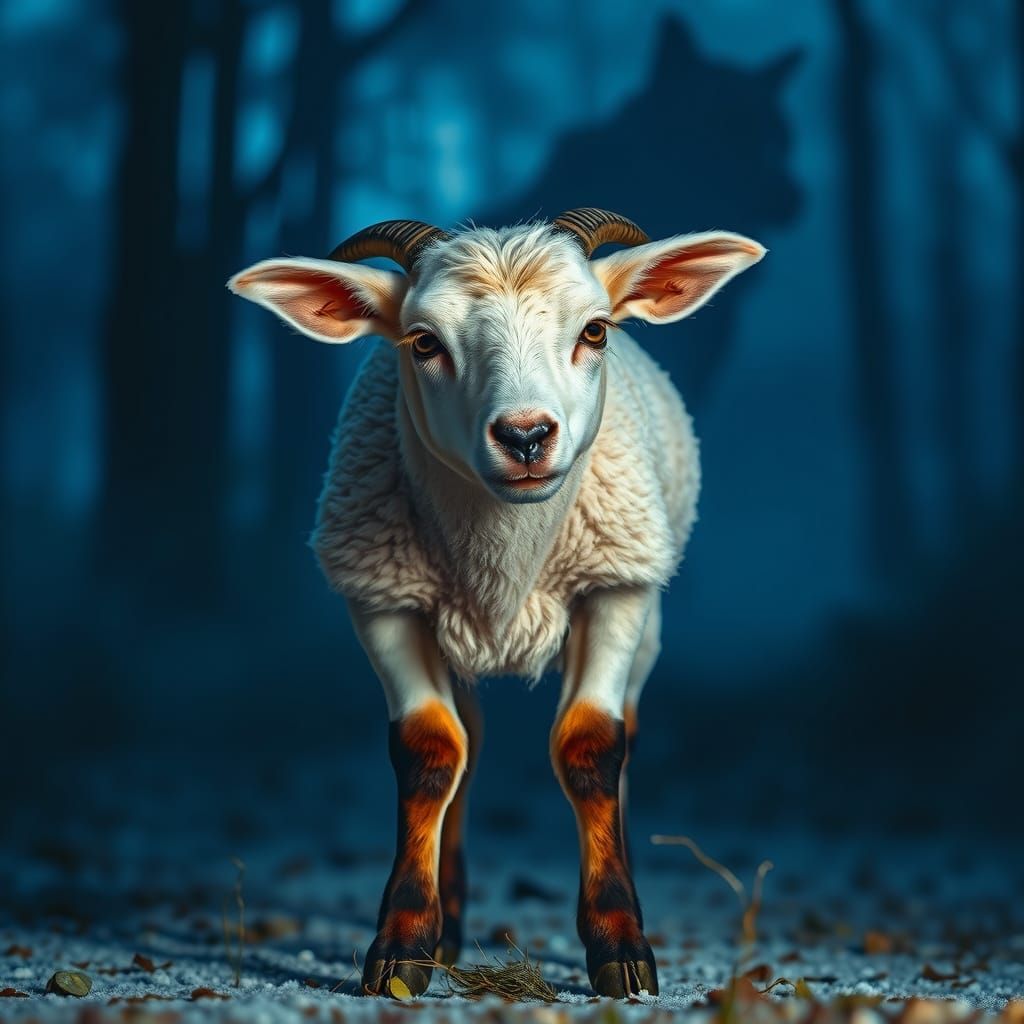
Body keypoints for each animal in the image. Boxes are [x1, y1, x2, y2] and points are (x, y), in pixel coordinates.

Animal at [228, 209, 765, 999]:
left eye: (595, 331)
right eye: (423, 342)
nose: (526, 435)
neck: (506, 558)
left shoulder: (615, 591)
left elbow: (591, 746)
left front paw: (619, 942)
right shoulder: (383, 601)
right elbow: (429, 751)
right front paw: (404, 943)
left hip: (647, 617)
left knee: (625, 738)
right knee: (468, 745)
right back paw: (449, 922)